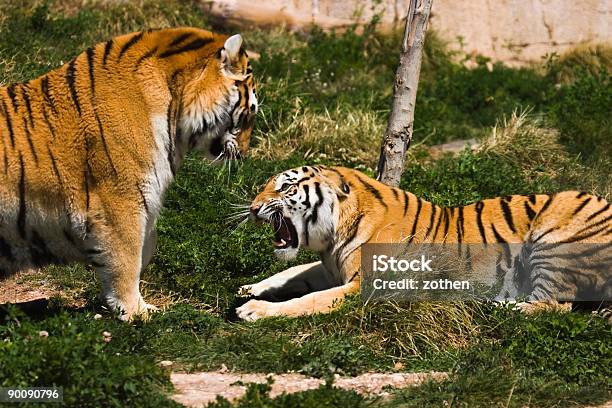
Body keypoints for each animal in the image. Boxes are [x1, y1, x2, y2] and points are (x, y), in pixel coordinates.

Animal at [0, 27, 258, 320]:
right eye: (249, 114)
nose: (244, 154)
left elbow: (145, 246)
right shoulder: (121, 199)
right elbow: (128, 256)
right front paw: (137, 311)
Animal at [235, 164, 612, 320]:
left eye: (285, 187)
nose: (252, 208)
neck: (335, 234)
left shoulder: (364, 286)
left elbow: (308, 299)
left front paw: (254, 310)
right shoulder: (332, 267)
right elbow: (293, 272)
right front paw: (250, 288)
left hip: (553, 234)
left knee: (558, 303)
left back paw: (501, 306)